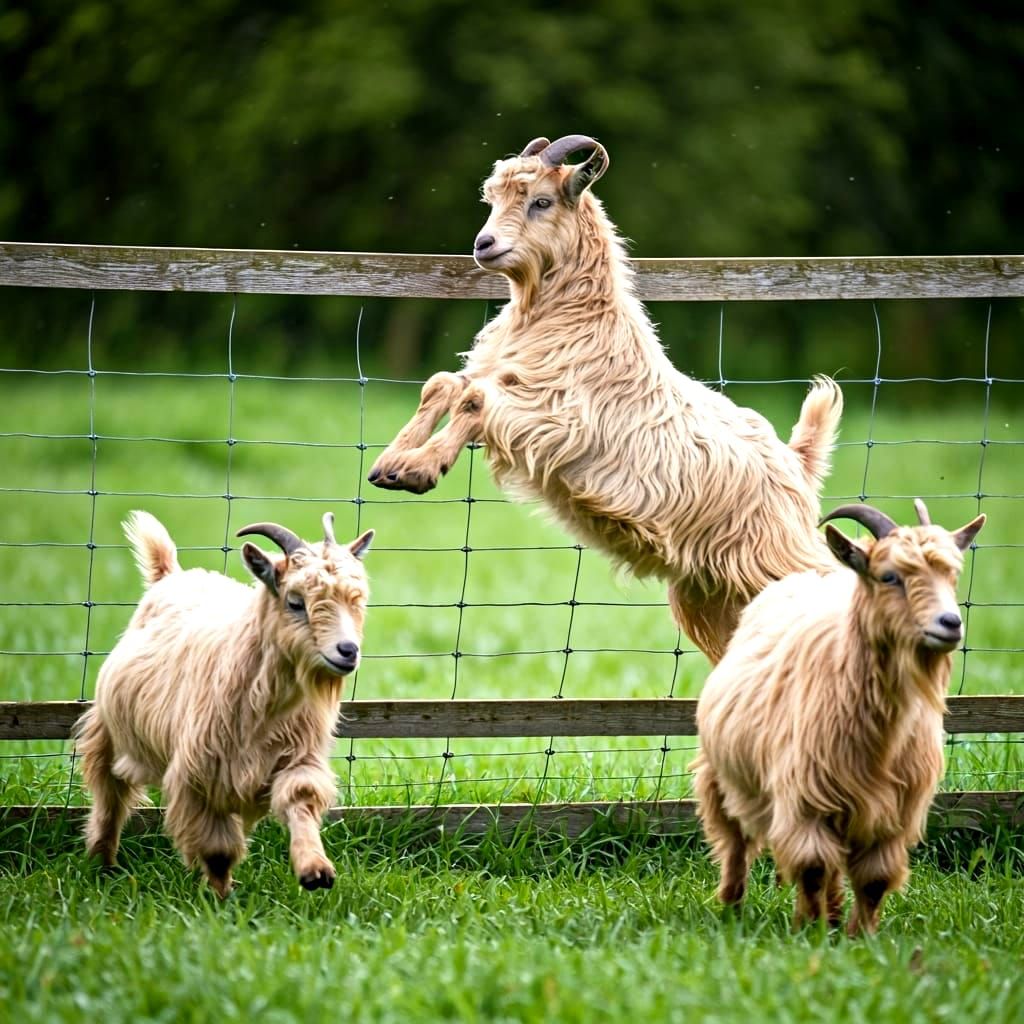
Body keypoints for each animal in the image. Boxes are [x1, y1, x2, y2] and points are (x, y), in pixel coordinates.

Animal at [75, 510, 373, 897]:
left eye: (358, 601)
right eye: (295, 602)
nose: (347, 651)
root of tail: (170, 575)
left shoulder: (295, 755)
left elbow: (300, 798)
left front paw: (315, 870)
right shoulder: (200, 773)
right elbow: (217, 849)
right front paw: (220, 896)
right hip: (108, 734)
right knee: (109, 798)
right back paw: (104, 864)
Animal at [368, 134, 843, 662]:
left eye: (541, 201)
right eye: (492, 200)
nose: (483, 244)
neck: (575, 317)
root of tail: (797, 463)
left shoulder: (556, 420)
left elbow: (474, 399)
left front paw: (420, 469)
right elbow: (445, 384)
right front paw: (390, 464)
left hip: (776, 560)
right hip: (711, 593)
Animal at [692, 499, 985, 935]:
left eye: (953, 574)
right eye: (889, 576)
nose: (950, 623)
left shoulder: (893, 812)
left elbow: (874, 879)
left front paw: (858, 935)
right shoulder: (803, 797)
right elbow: (812, 866)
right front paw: (807, 929)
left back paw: (830, 915)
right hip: (724, 774)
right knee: (734, 842)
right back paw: (731, 905)